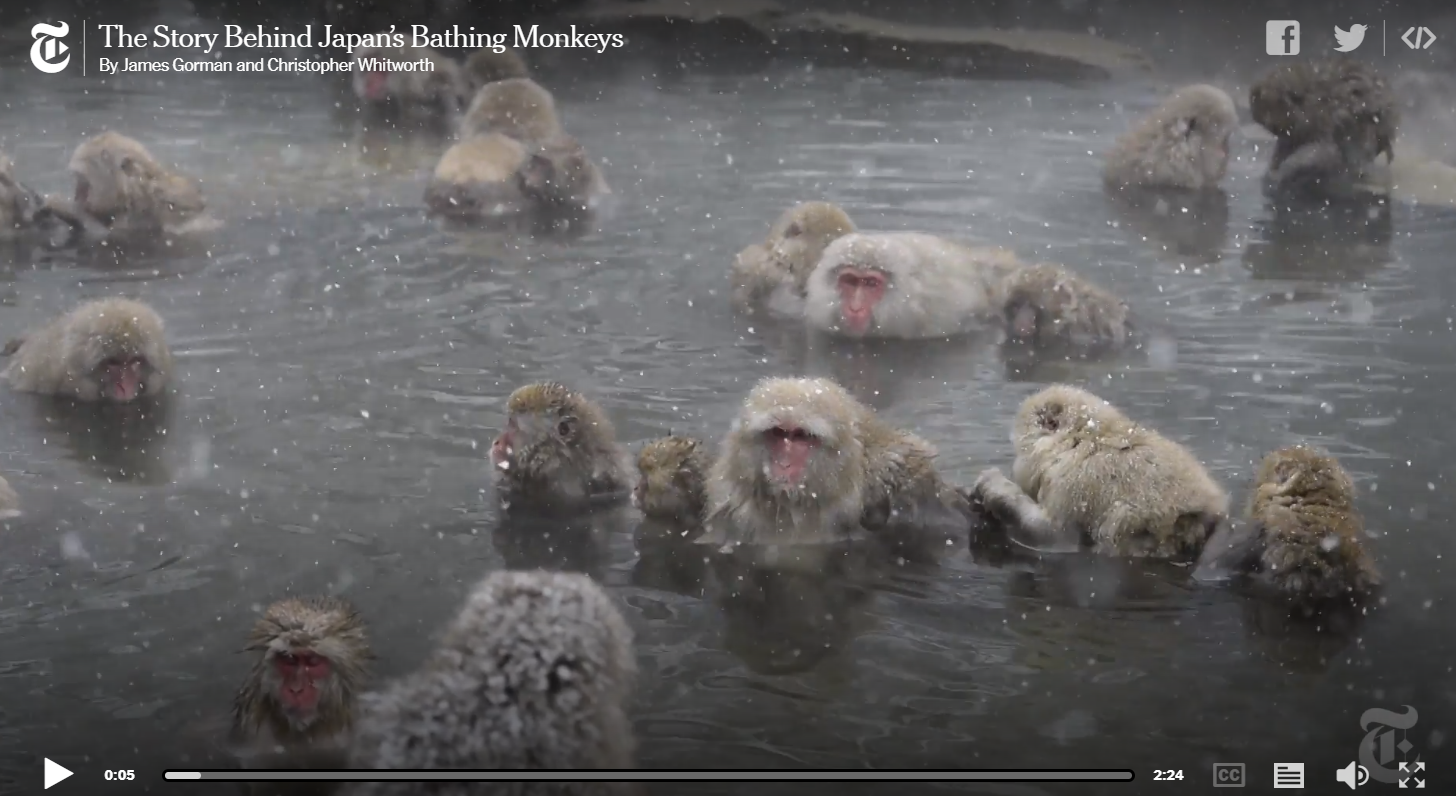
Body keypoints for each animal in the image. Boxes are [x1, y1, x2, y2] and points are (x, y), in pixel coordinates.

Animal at [1250, 58, 1399, 197]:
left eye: (1269, 108)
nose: (1272, 126)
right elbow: (1288, 145)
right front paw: (1274, 170)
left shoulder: (1326, 121)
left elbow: (1324, 149)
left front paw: (1286, 171)